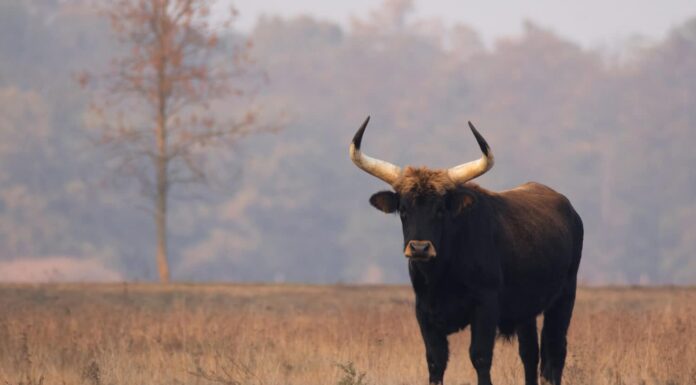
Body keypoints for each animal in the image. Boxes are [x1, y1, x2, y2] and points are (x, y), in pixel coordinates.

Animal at [348, 117, 580, 384]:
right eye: (403, 209)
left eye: (440, 209)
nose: (419, 247)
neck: (441, 276)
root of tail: (570, 210)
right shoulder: (425, 314)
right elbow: (435, 361)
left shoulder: (485, 308)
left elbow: (480, 357)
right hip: (526, 310)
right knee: (530, 354)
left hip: (563, 299)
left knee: (555, 353)